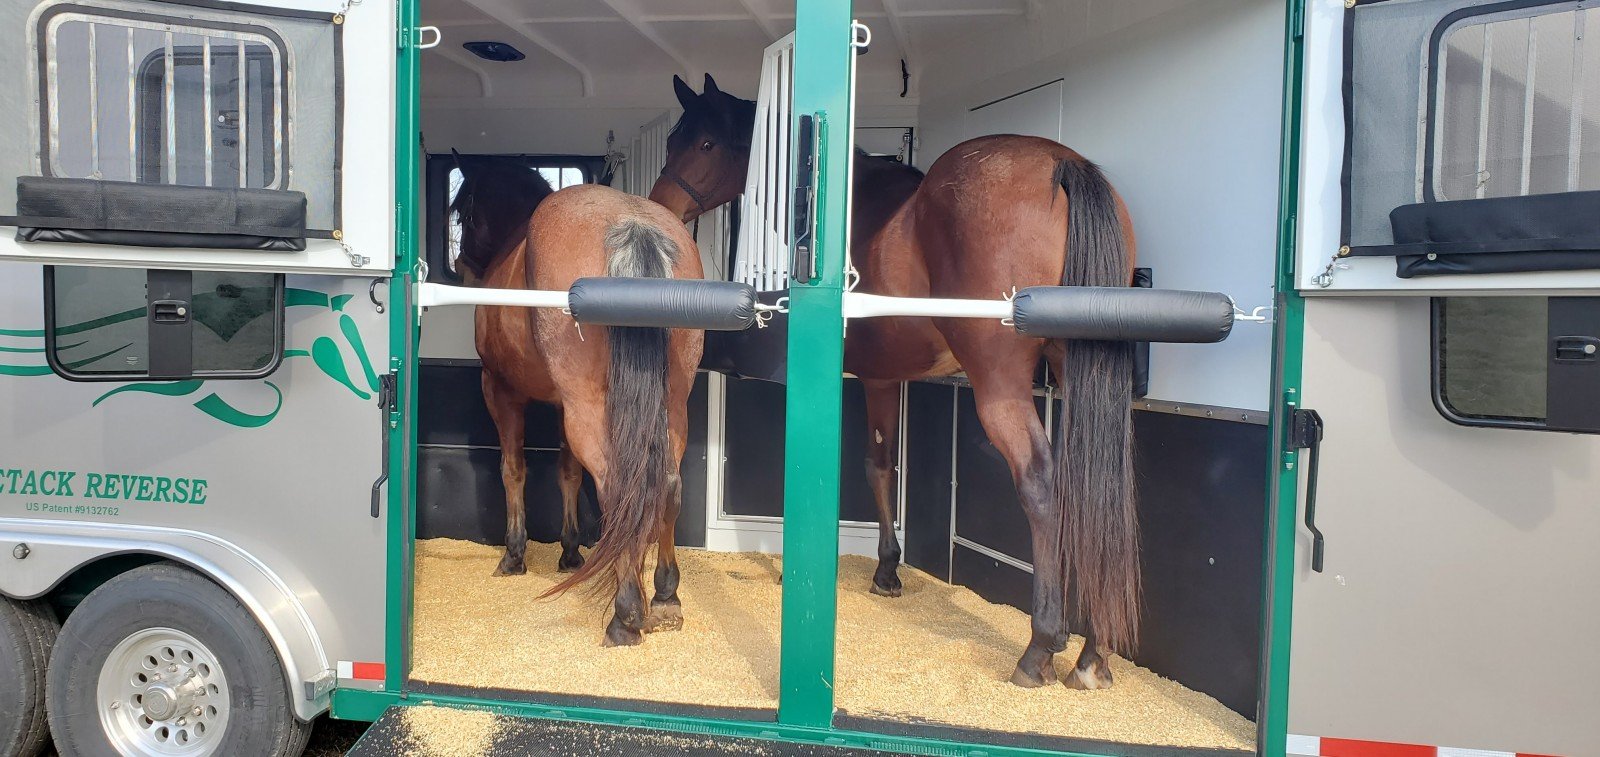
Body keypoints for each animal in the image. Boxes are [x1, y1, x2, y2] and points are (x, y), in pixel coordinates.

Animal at [451, 157, 700, 643]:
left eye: (465, 213)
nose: (461, 264)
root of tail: (632, 224)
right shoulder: (562, 404)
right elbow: (567, 473)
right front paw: (570, 552)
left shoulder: (501, 390)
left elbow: (513, 469)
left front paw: (513, 554)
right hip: (673, 405)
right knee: (667, 484)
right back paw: (665, 599)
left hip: (587, 407)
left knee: (617, 486)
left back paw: (626, 615)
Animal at [649, 75, 1139, 684]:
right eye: (674, 138)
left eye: (706, 143)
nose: (660, 208)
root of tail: (1059, 164)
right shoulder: (885, 379)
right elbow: (881, 464)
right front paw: (887, 572)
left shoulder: (853, 381)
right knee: (1099, 483)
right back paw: (1094, 653)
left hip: (1000, 385)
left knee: (1040, 481)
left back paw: (1040, 647)